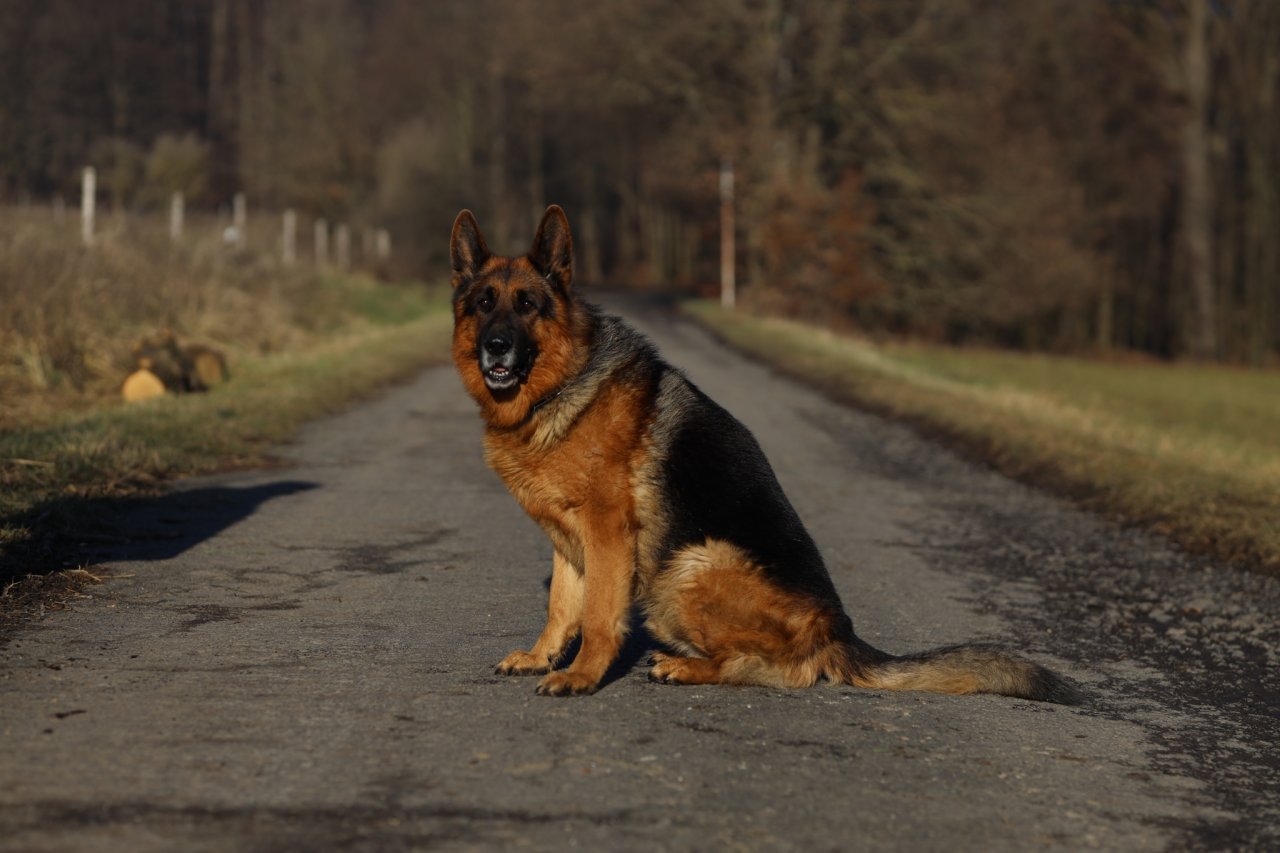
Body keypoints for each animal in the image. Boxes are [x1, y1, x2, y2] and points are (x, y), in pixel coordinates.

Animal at [450, 206, 1080, 701]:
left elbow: (600, 617)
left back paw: (685, 667)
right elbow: (563, 608)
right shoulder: (568, 540)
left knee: (778, 670)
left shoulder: (607, 533)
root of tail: (835, 630)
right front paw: (542, 656)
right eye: (483, 304)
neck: (560, 385)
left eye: (527, 304)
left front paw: (581, 676)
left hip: (687, 567)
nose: (496, 347)